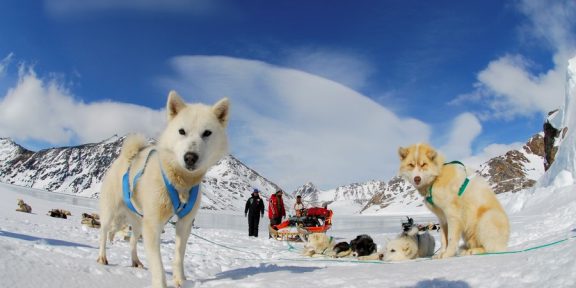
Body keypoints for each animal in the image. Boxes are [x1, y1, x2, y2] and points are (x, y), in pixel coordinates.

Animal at [97, 90, 230, 288]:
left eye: (207, 133)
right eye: (182, 131)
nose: (190, 157)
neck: (180, 182)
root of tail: (126, 156)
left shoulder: (184, 223)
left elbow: (178, 255)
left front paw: (180, 280)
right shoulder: (153, 224)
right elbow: (158, 265)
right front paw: (161, 283)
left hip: (137, 223)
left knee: (133, 242)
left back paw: (136, 261)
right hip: (110, 212)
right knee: (104, 233)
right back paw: (102, 257)